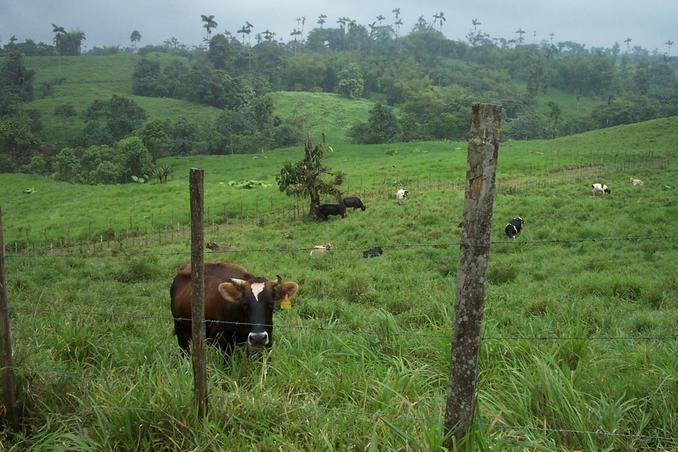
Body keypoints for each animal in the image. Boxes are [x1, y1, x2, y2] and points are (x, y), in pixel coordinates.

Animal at [170, 262, 298, 356]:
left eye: (271, 304)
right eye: (245, 305)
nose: (257, 338)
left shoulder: (267, 341)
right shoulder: (223, 344)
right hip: (181, 333)